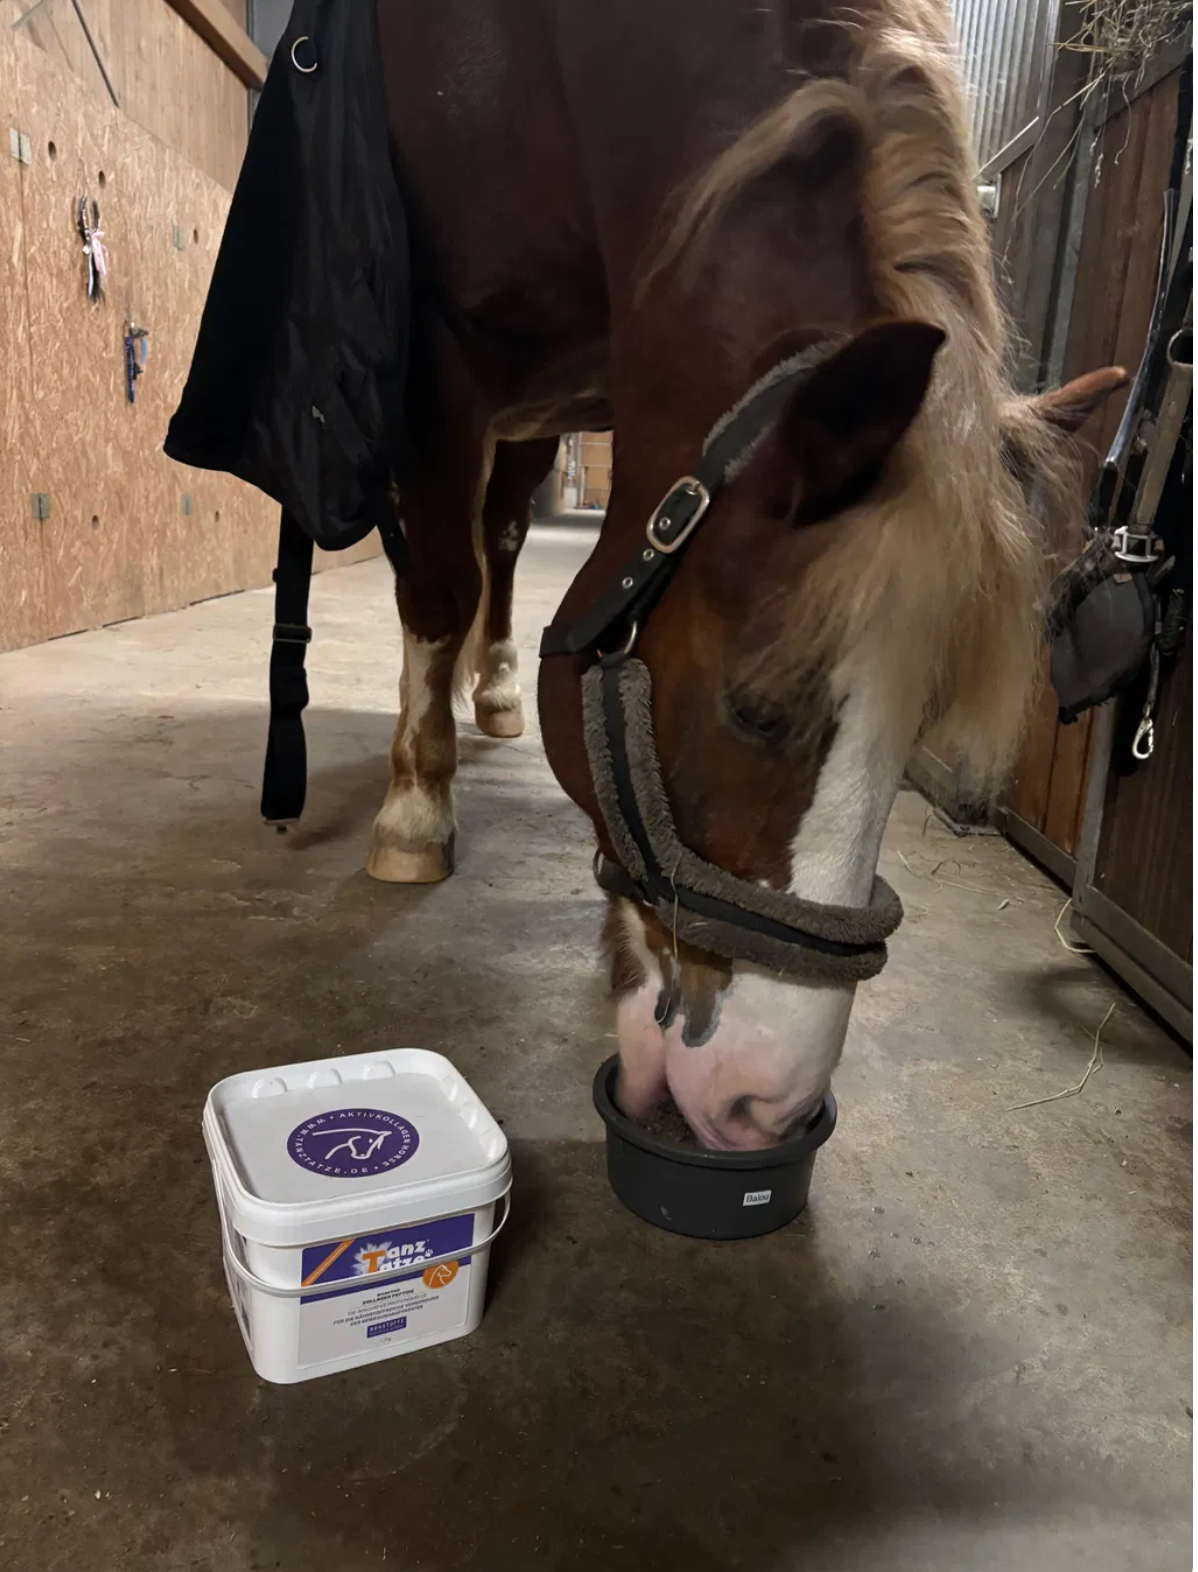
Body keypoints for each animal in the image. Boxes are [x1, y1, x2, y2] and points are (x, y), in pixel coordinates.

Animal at [367, 0, 1126, 1151]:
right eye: (757, 711)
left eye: (920, 728)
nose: (765, 1106)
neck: (543, 55)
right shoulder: (434, 350)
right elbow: (437, 586)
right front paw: (413, 816)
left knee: (501, 534)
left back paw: (489, 694)